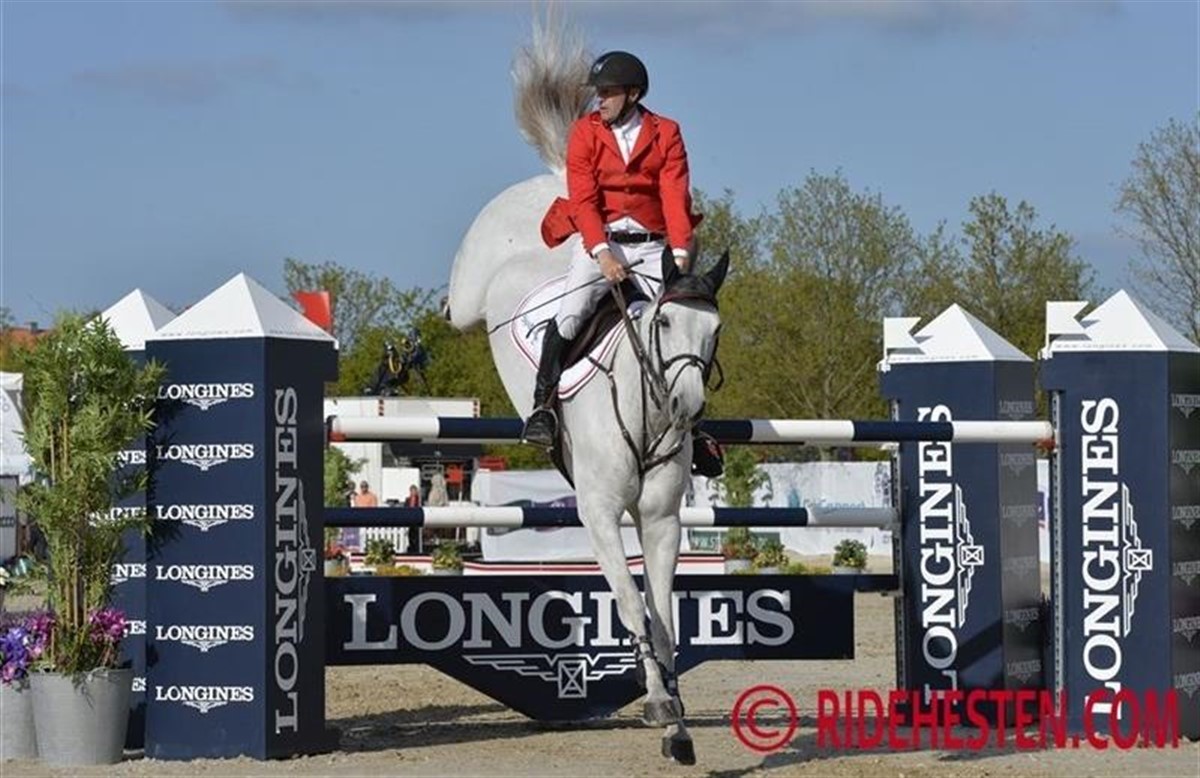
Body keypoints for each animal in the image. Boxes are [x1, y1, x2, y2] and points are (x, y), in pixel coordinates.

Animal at [446, 15, 727, 764]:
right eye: (663, 322)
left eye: (713, 329)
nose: (688, 408)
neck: (645, 405)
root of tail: (554, 187)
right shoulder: (600, 513)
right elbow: (630, 605)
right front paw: (662, 706)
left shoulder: (658, 520)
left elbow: (660, 613)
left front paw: (675, 717)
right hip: (481, 284)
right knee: (476, 306)